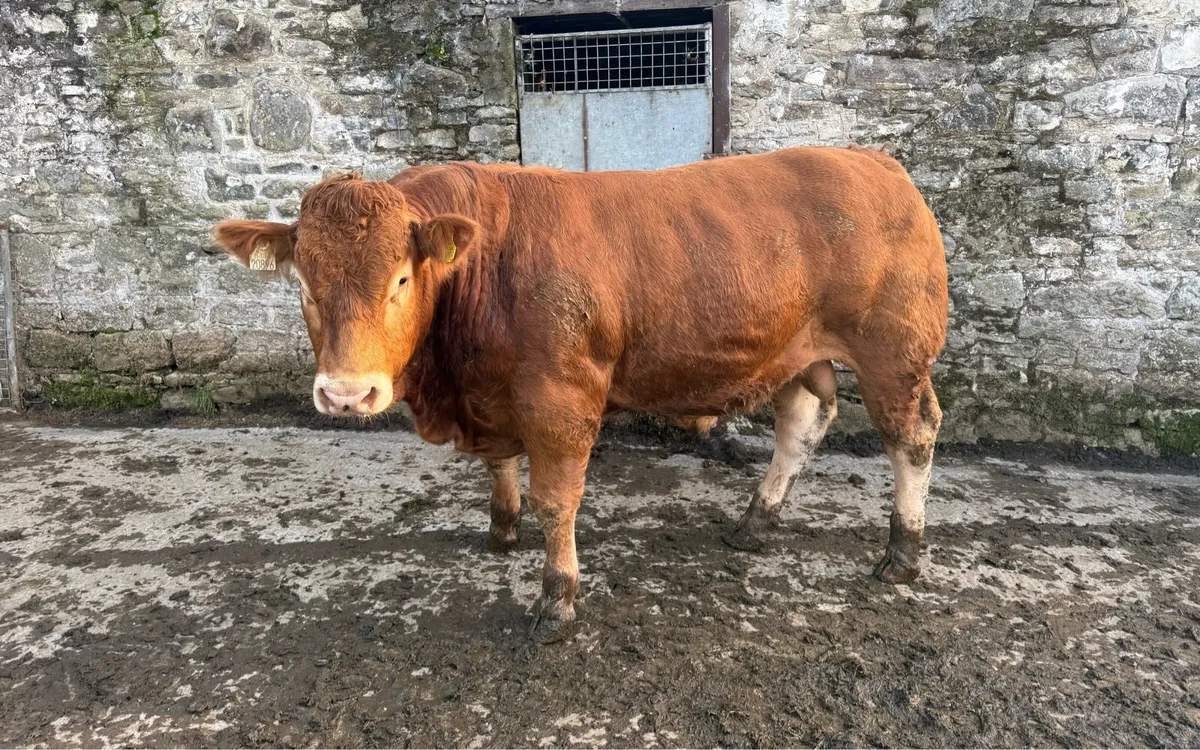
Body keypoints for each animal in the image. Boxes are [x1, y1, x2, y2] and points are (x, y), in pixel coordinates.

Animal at [212, 146, 948, 636]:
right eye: (303, 285)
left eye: (399, 278)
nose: (346, 394)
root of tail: (874, 160)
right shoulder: (495, 392)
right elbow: (501, 467)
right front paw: (500, 527)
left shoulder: (560, 396)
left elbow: (557, 499)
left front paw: (557, 597)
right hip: (799, 351)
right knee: (802, 422)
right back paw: (754, 524)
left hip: (894, 350)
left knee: (911, 437)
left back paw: (903, 554)